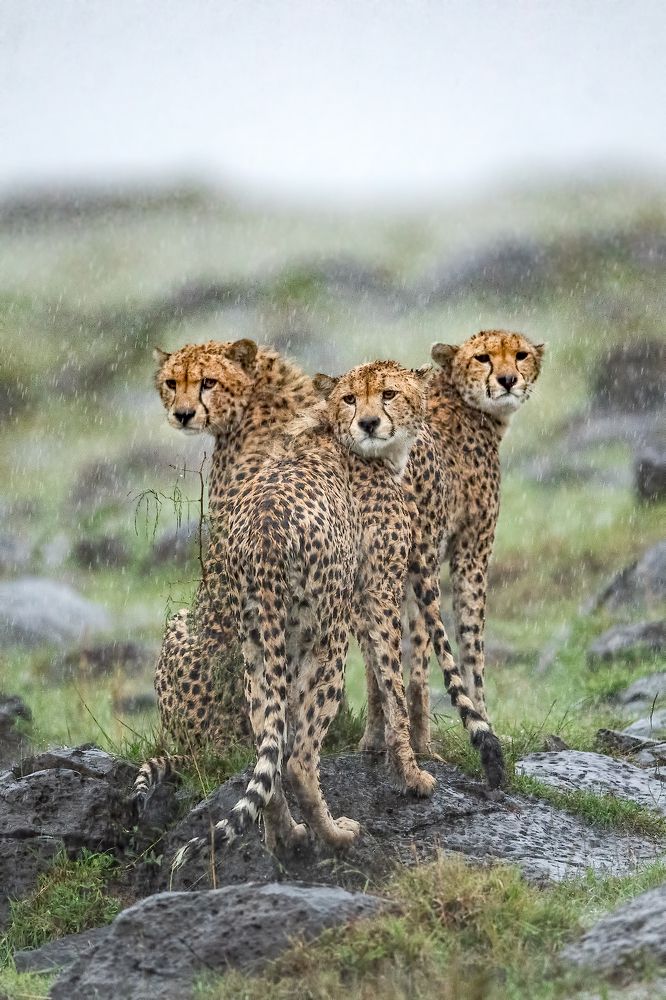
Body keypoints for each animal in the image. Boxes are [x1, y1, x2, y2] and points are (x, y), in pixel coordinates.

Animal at [360, 329, 545, 756]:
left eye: (521, 355)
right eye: (482, 358)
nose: (507, 381)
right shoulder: (471, 550)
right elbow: (470, 644)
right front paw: (485, 723)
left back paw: (377, 738)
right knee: (420, 652)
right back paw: (422, 743)